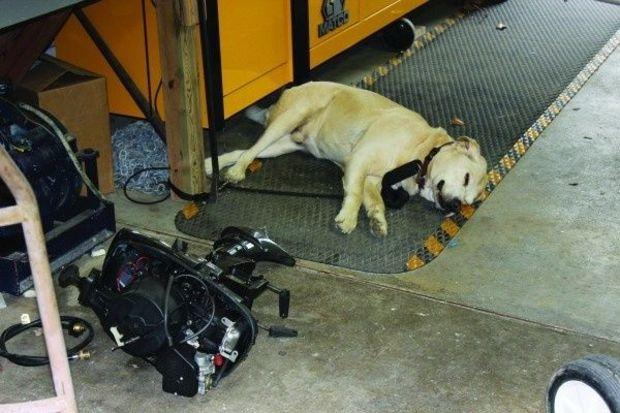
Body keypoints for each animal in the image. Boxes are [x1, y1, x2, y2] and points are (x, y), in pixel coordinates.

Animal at [208, 81, 490, 235]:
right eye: (466, 178)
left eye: (469, 201)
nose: (457, 206)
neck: (421, 153)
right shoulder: (360, 160)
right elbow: (353, 194)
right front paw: (349, 219)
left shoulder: (374, 180)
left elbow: (376, 202)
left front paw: (377, 221)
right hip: (289, 118)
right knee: (250, 151)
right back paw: (237, 171)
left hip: (284, 144)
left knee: (244, 151)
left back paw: (211, 166)